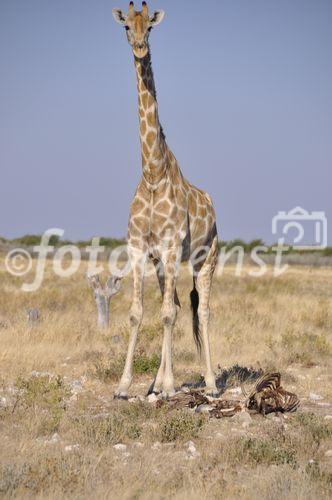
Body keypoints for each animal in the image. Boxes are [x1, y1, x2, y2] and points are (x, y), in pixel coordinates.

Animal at [113, 0, 219, 398]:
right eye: (126, 26)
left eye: (151, 27)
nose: (140, 48)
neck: (153, 174)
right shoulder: (138, 247)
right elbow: (138, 313)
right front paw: (126, 385)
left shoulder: (174, 247)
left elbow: (170, 315)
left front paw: (172, 384)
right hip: (163, 264)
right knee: (172, 304)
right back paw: (156, 383)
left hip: (206, 258)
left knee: (201, 311)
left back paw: (210, 382)